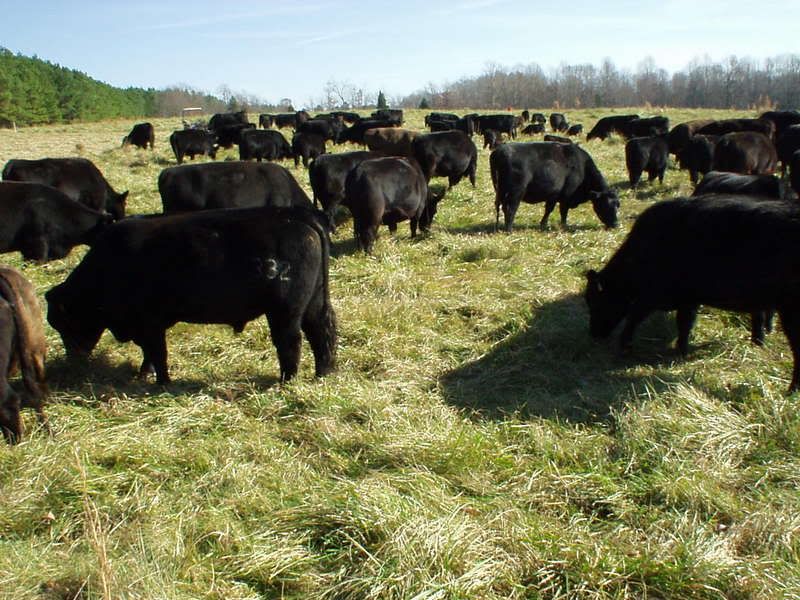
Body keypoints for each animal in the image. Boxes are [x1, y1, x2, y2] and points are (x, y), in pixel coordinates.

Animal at [46, 206, 337, 385]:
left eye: (64, 323)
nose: (73, 361)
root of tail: (297, 215)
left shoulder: (149, 323)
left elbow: (157, 352)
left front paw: (162, 382)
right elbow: (149, 353)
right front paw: (144, 374)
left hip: (284, 311)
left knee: (291, 341)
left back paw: (286, 381)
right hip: (314, 302)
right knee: (321, 333)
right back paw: (323, 373)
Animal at [490, 142, 619, 231]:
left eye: (618, 205)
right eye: (604, 205)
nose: (616, 225)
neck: (582, 167)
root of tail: (499, 151)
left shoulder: (553, 195)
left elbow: (549, 210)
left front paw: (543, 224)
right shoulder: (566, 196)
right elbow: (563, 212)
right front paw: (563, 226)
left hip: (501, 192)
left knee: (501, 207)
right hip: (515, 193)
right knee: (510, 209)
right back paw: (509, 230)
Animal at [585, 194, 800, 392]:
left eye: (595, 302)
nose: (594, 334)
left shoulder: (653, 295)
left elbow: (634, 317)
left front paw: (625, 346)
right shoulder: (687, 298)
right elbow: (685, 324)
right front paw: (682, 351)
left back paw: (791, 389)